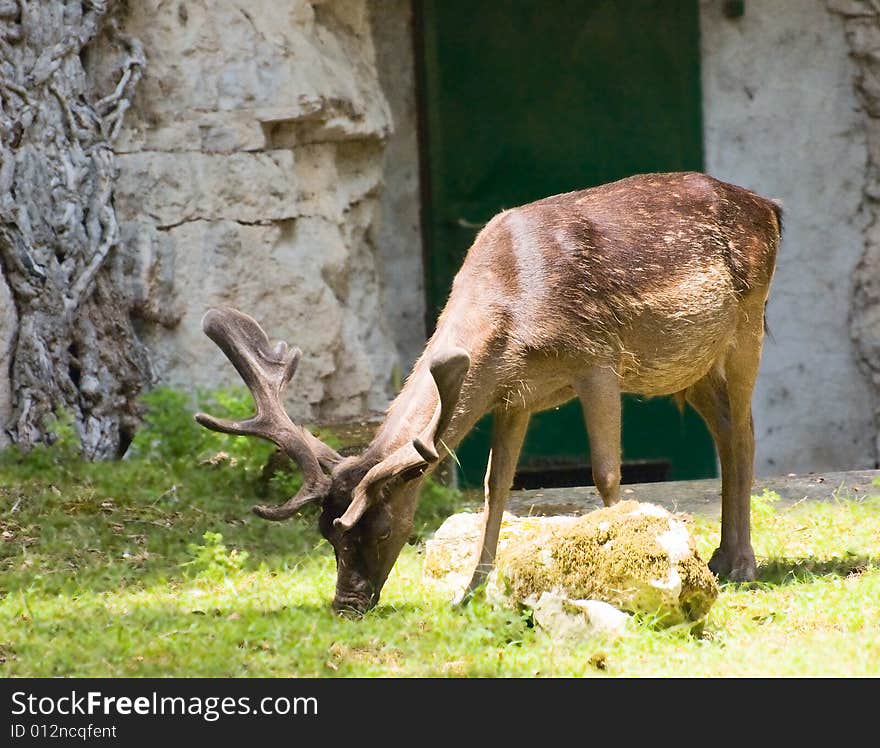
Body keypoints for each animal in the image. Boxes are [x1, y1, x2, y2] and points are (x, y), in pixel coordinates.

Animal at [194, 172, 784, 616]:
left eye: (379, 531)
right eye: (326, 535)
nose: (346, 604)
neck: (512, 310)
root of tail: (771, 206)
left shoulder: (596, 355)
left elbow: (607, 473)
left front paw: (623, 566)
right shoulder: (513, 395)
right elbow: (494, 487)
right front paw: (471, 593)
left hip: (746, 324)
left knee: (747, 431)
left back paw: (744, 565)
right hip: (691, 367)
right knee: (727, 430)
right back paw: (720, 558)